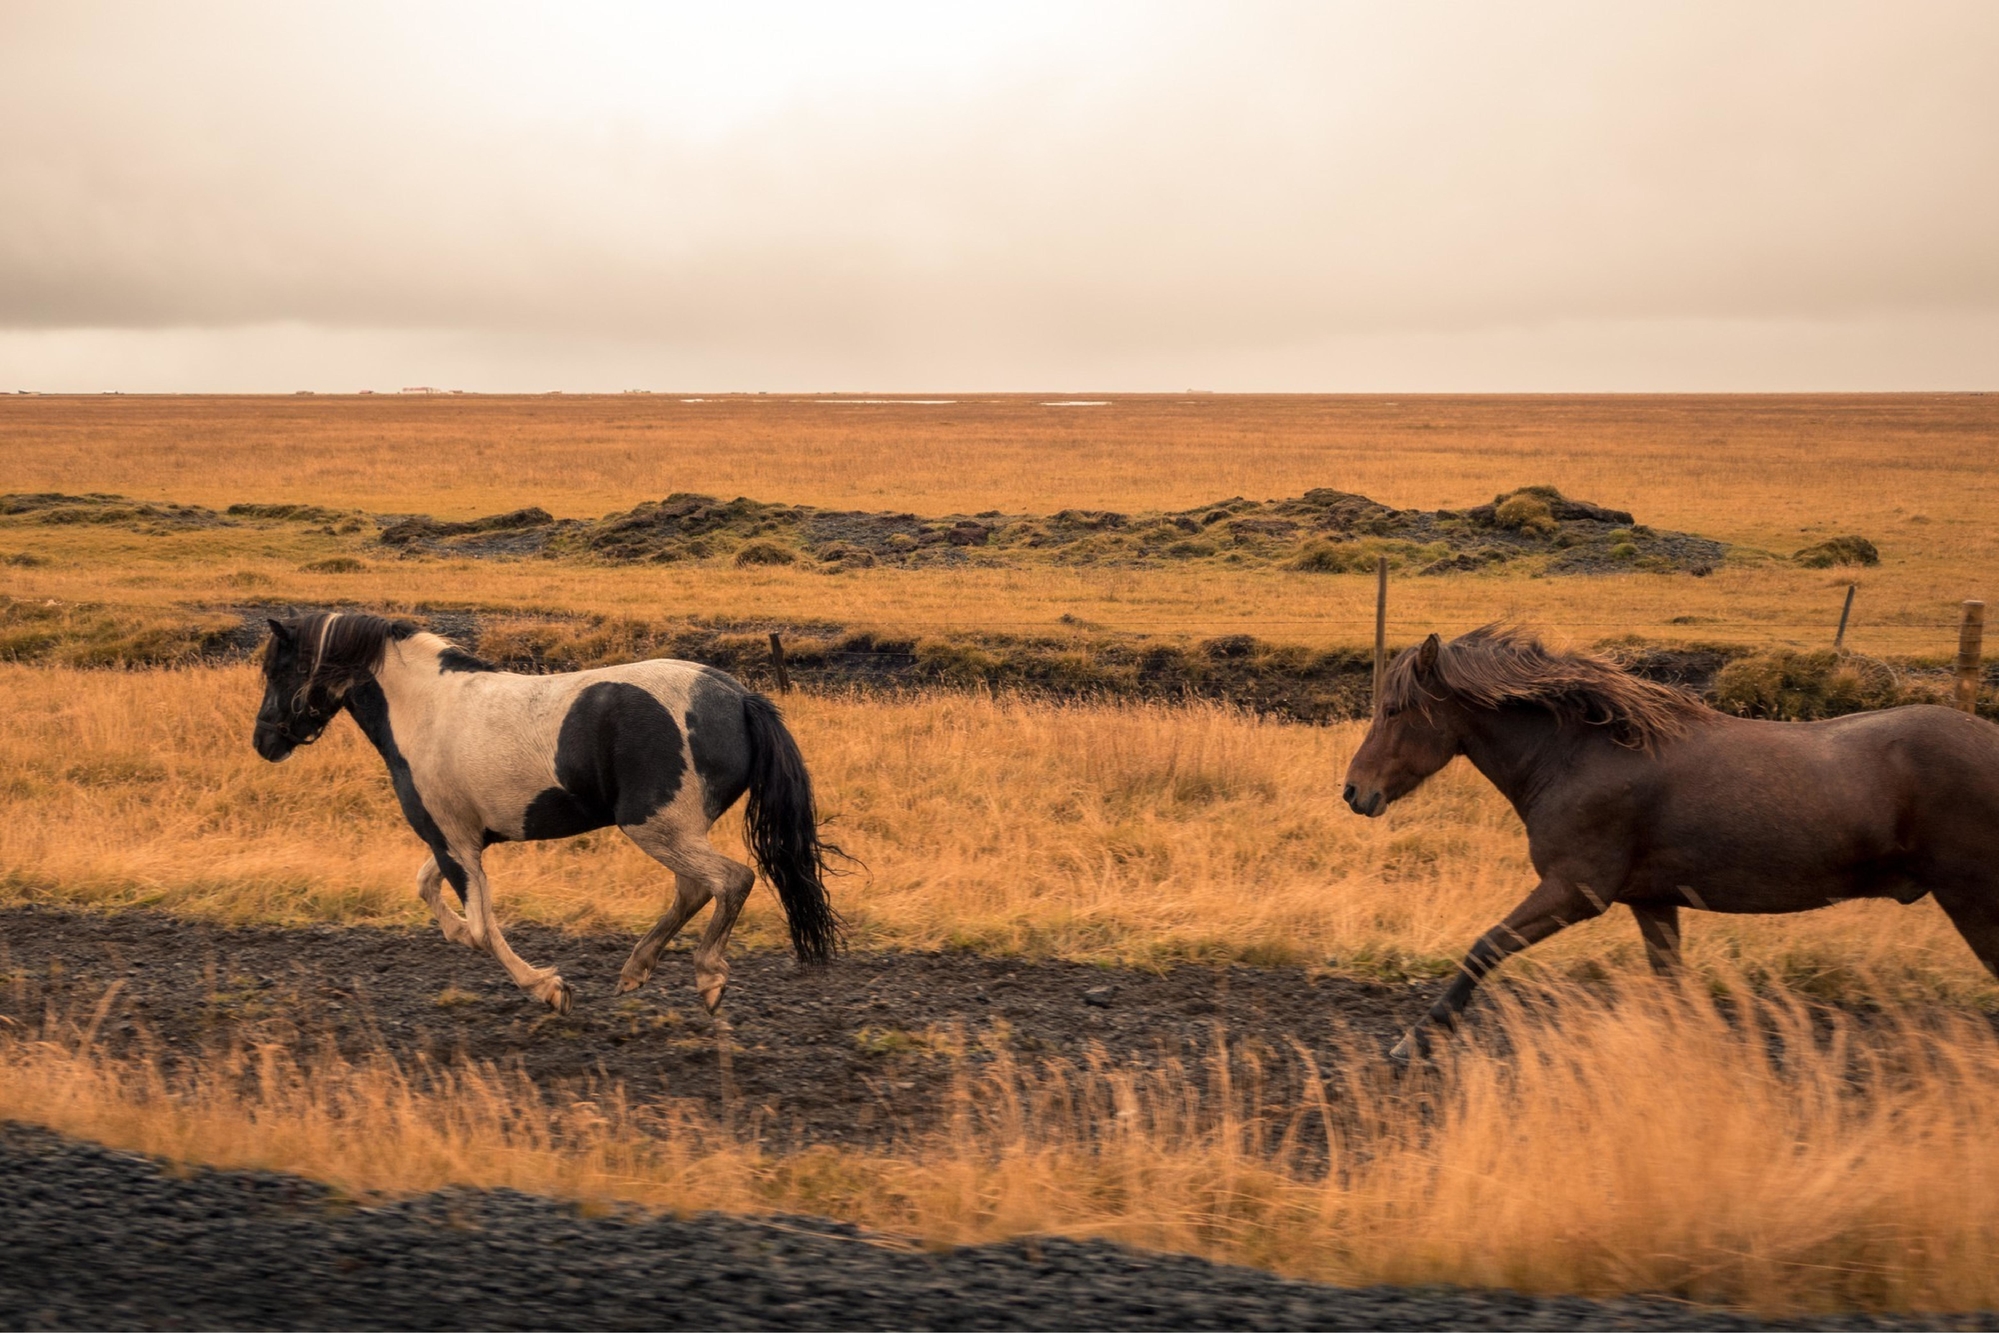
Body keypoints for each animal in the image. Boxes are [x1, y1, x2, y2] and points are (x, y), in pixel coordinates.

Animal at [251, 612, 843, 1014]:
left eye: (279, 670)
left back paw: (707, 978)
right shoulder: (465, 840)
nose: (264, 743)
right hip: (676, 830)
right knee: (695, 889)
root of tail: (737, 696)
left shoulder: (451, 840)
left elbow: (482, 928)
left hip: (657, 828)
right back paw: (636, 970)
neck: (424, 709)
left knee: (730, 880)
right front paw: (469, 939)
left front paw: (549, 989)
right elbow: (430, 891)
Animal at [1342, 625, 1999, 1063]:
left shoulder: (1575, 890)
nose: (1354, 792)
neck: (1582, 755)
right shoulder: (1652, 903)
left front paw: (1414, 1040)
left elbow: (1484, 948)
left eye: (1395, 709)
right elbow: (1672, 988)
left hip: (1974, 901)